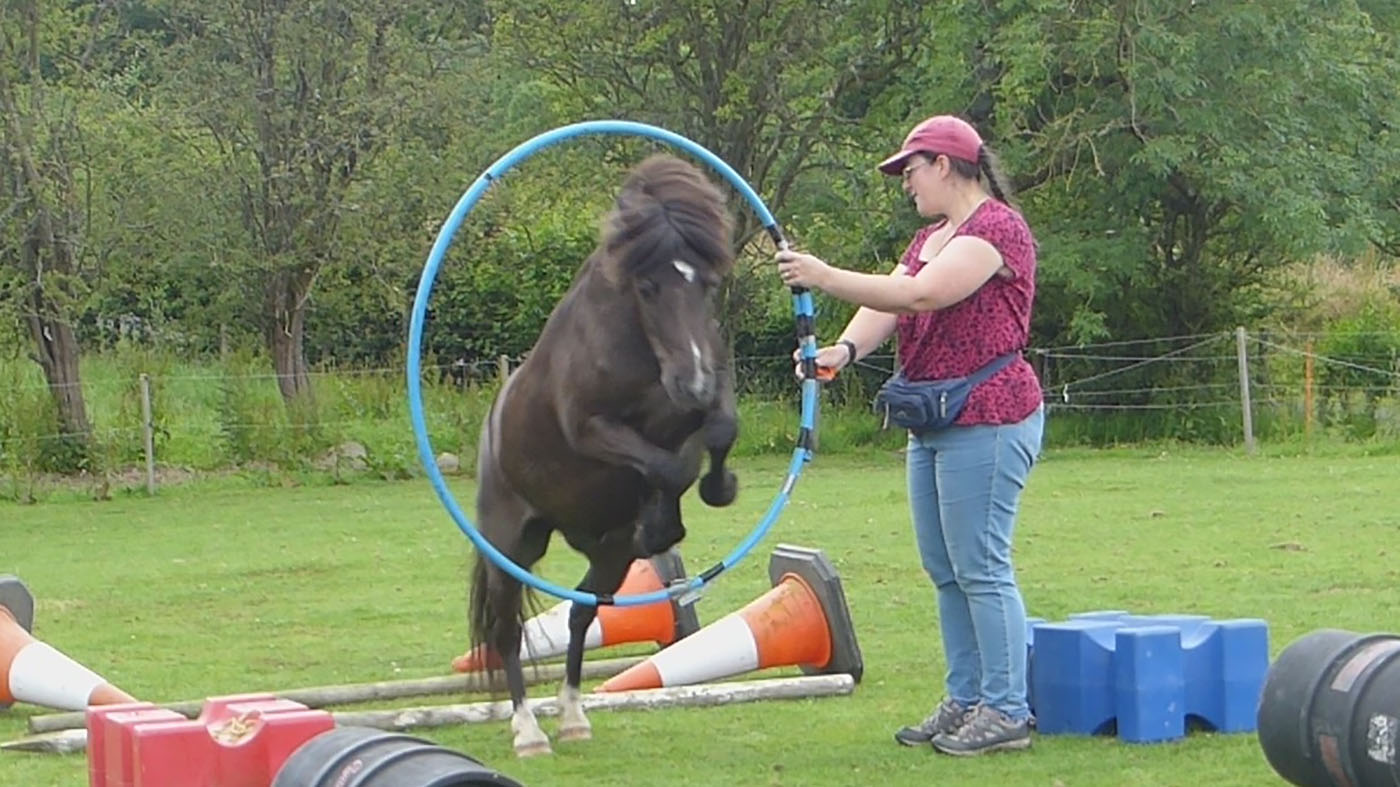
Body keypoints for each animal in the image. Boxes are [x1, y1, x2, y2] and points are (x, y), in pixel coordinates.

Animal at [468, 153, 740, 757]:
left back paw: (573, 716)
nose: (691, 381)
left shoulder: (705, 398)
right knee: (507, 631)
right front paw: (663, 524)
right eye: (647, 286)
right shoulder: (592, 429)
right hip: (510, 544)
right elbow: (667, 466)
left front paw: (717, 488)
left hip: (605, 552)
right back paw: (528, 730)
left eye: (707, 284)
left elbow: (717, 433)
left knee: (580, 614)